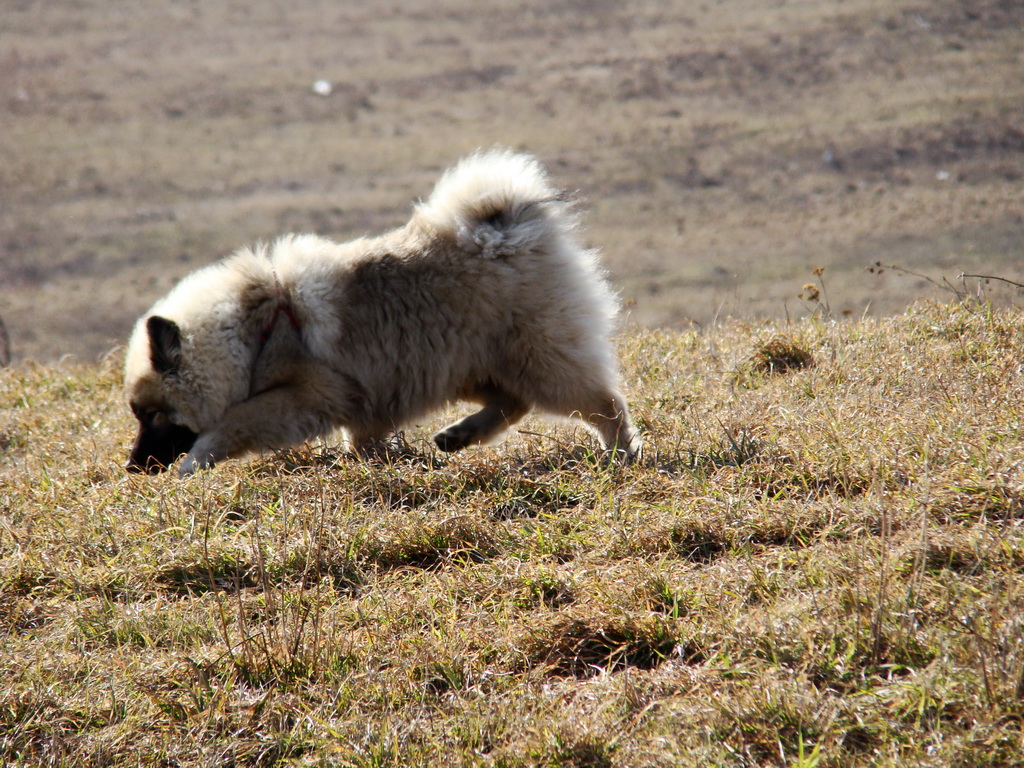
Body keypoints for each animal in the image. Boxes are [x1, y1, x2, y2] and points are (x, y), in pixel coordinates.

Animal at [125, 149, 638, 475]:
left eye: (151, 415)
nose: (133, 467)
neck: (253, 337)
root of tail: (507, 232)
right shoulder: (364, 396)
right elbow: (363, 439)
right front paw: (381, 463)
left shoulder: (307, 393)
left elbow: (231, 425)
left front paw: (194, 464)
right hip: (466, 362)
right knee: (515, 402)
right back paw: (459, 436)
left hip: (537, 358)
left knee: (602, 404)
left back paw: (620, 455)